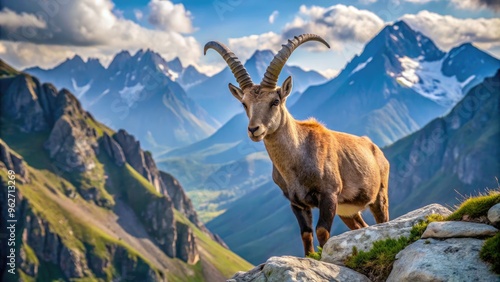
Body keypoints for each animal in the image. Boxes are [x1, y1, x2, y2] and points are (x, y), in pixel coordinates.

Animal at [204, 33, 390, 256]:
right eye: (244, 104)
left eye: (275, 101)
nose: (254, 130)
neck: (298, 158)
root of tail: (375, 148)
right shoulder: (296, 203)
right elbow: (306, 235)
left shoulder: (329, 195)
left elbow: (322, 233)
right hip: (347, 210)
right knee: (361, 227)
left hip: (379, 196)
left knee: (382, 220)